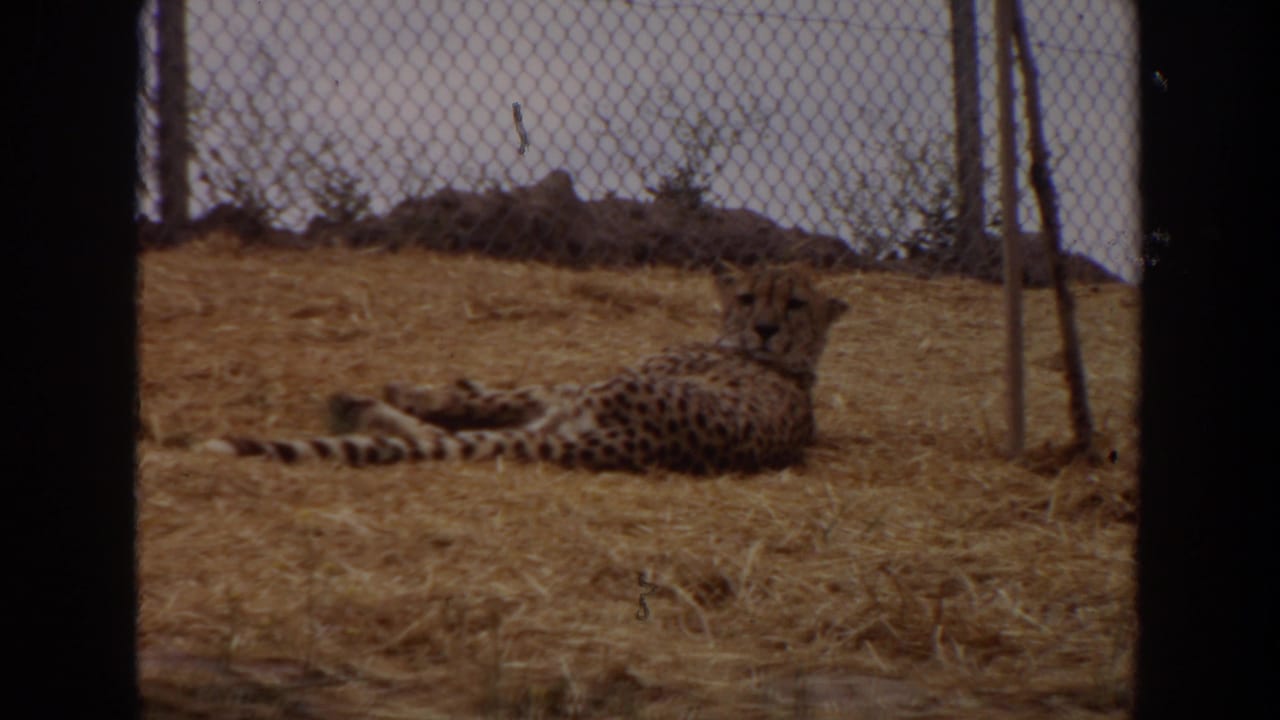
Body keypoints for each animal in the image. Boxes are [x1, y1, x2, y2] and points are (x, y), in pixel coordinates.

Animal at [203, 262, 848, 475]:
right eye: (749, 298)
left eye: (794, 304)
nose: (765, 329)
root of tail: (647, 443)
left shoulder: (581, 385)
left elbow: (504, 392)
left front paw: (426, 387)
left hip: (592, 398)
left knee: (457, 425)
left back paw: (368, 401)